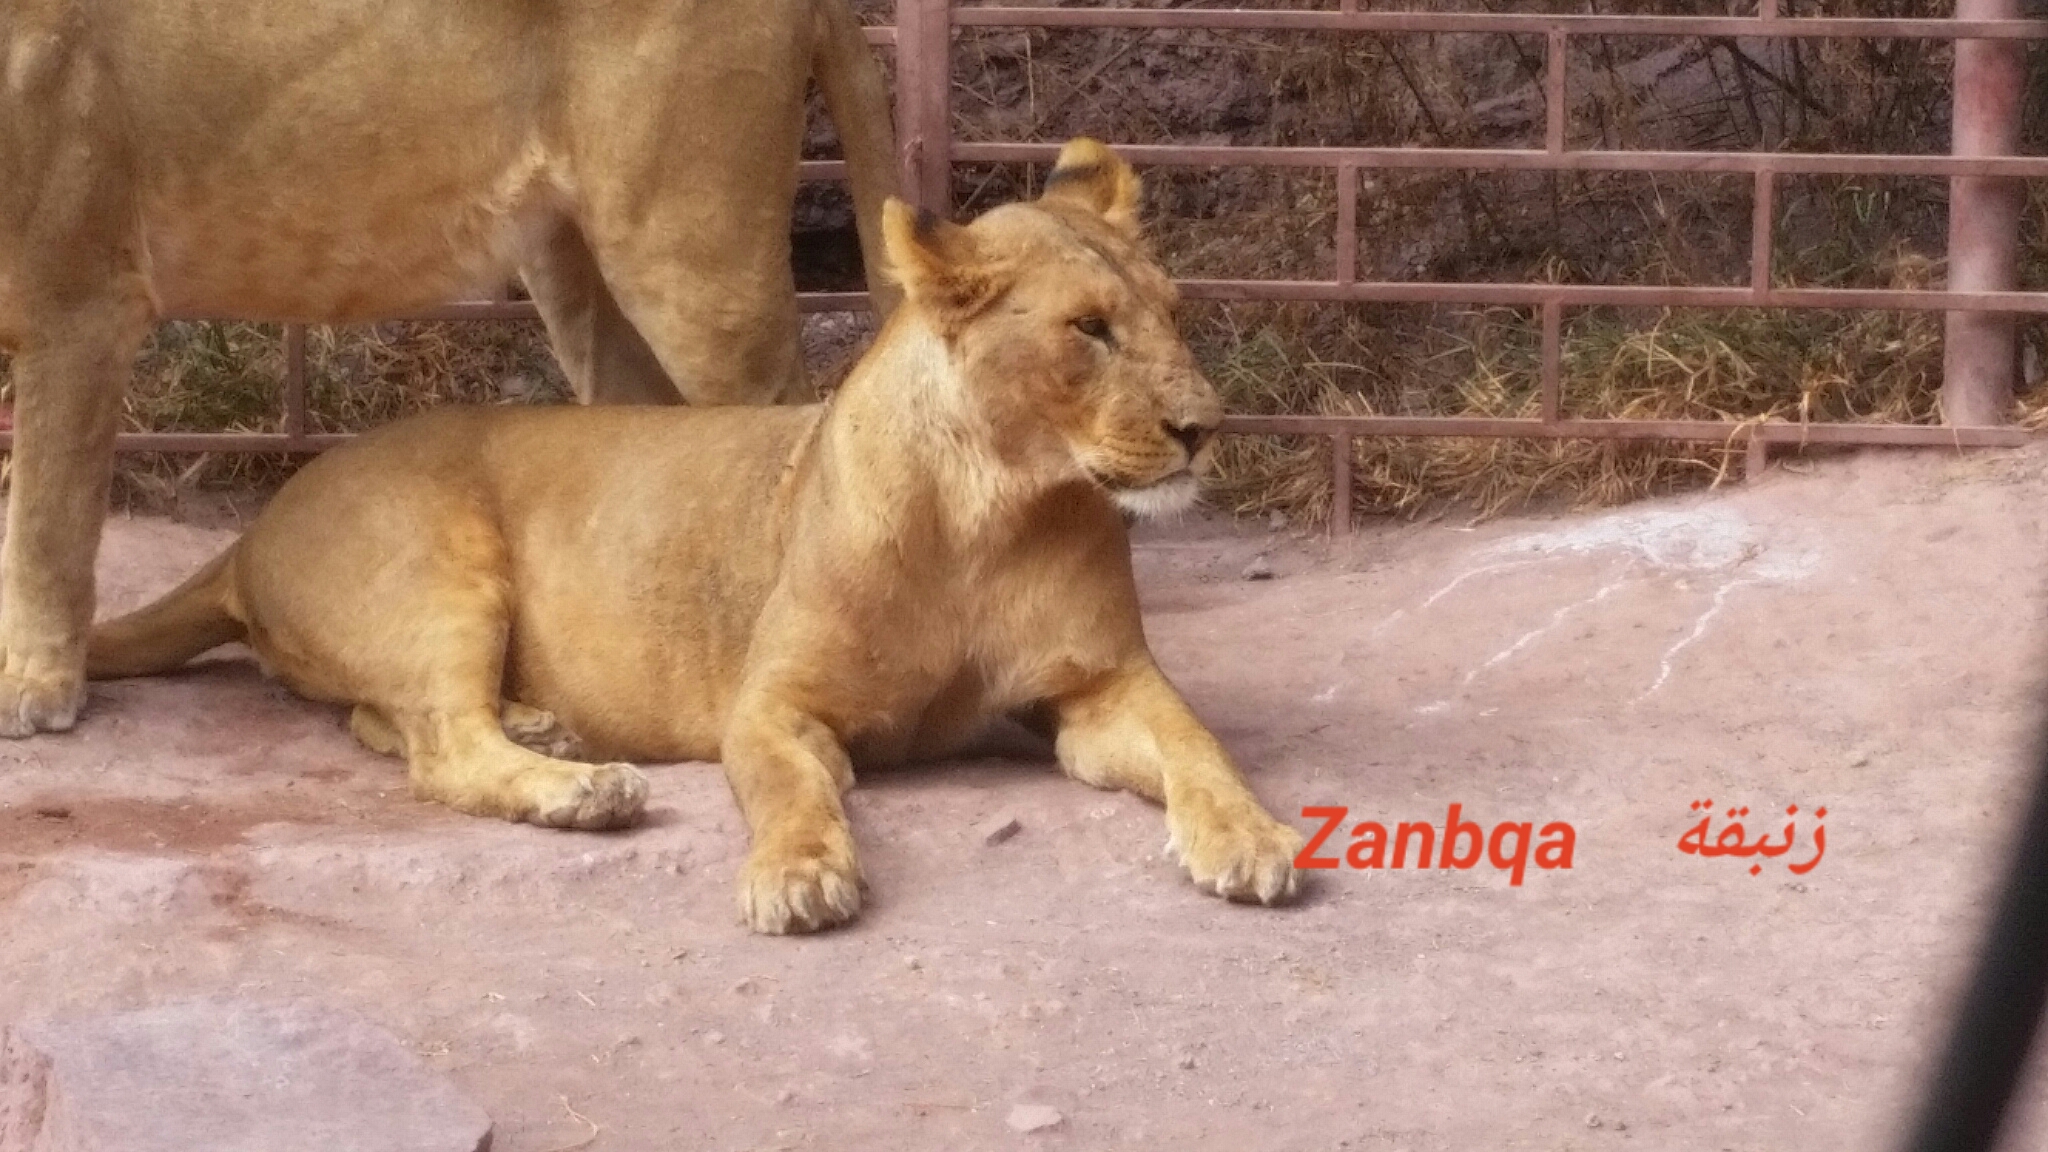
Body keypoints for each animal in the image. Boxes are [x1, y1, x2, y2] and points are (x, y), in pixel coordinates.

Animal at [88, 141, 1302, 934]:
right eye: (1086, 330)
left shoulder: (1102, 685)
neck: (993, 509)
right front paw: (798, 878)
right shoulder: (768, 704)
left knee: (388, 724)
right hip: (442, 567)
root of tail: (253, 530)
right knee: (440, 747)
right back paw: (581, 790)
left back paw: (546, 729)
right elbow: (790, 792)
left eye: (1172, 312)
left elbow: (1197, 745)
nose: (1205, 426)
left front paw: (1250, 838)